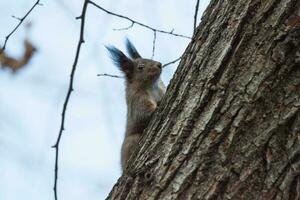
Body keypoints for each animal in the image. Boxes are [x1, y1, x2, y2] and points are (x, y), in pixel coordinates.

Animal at [106, 39, 166, 170]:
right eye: (140, 67)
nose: (159, 64)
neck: (151, 86)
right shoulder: (137, 100)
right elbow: (143, 115)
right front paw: (158, 105)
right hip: (132, 141)